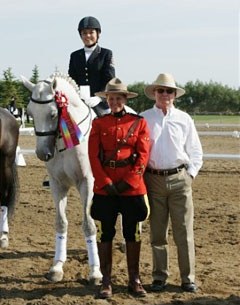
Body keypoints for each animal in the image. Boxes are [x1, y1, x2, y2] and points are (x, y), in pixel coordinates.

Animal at [20, 72, 102, 284]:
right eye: (30, 113)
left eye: (53, 114)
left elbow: (88, 225)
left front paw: (95, 272)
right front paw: (57, 267)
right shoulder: (58, 185)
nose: (42, 154)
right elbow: (61, 222)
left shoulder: (86, 183)